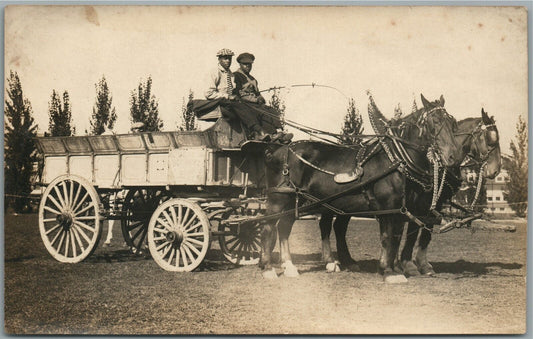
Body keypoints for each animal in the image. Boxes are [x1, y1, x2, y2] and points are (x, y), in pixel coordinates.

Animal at [241, 93, 462, 282]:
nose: (454, 157)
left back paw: (289, 266)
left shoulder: (402, 210)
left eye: (452, 123)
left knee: (285, 227)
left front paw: (395, 268)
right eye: (434, 123)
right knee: (268, 227)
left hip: (297, 199)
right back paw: (268, 268)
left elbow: (396, 237)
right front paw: (389, 271)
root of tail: (277, 150)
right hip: (279, 198)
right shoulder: (387, 208)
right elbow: (387, 237)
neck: (396, 160)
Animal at [320, 108, 502, 276]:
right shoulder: (421, 204)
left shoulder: (422, 204)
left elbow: (410, 232)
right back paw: (331, 262)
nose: (496, 170)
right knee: (326, 225)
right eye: (490, 139)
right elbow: (414, 232)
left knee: (339, 227)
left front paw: (401, 263)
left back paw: (348, 261)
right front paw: (411, 264)